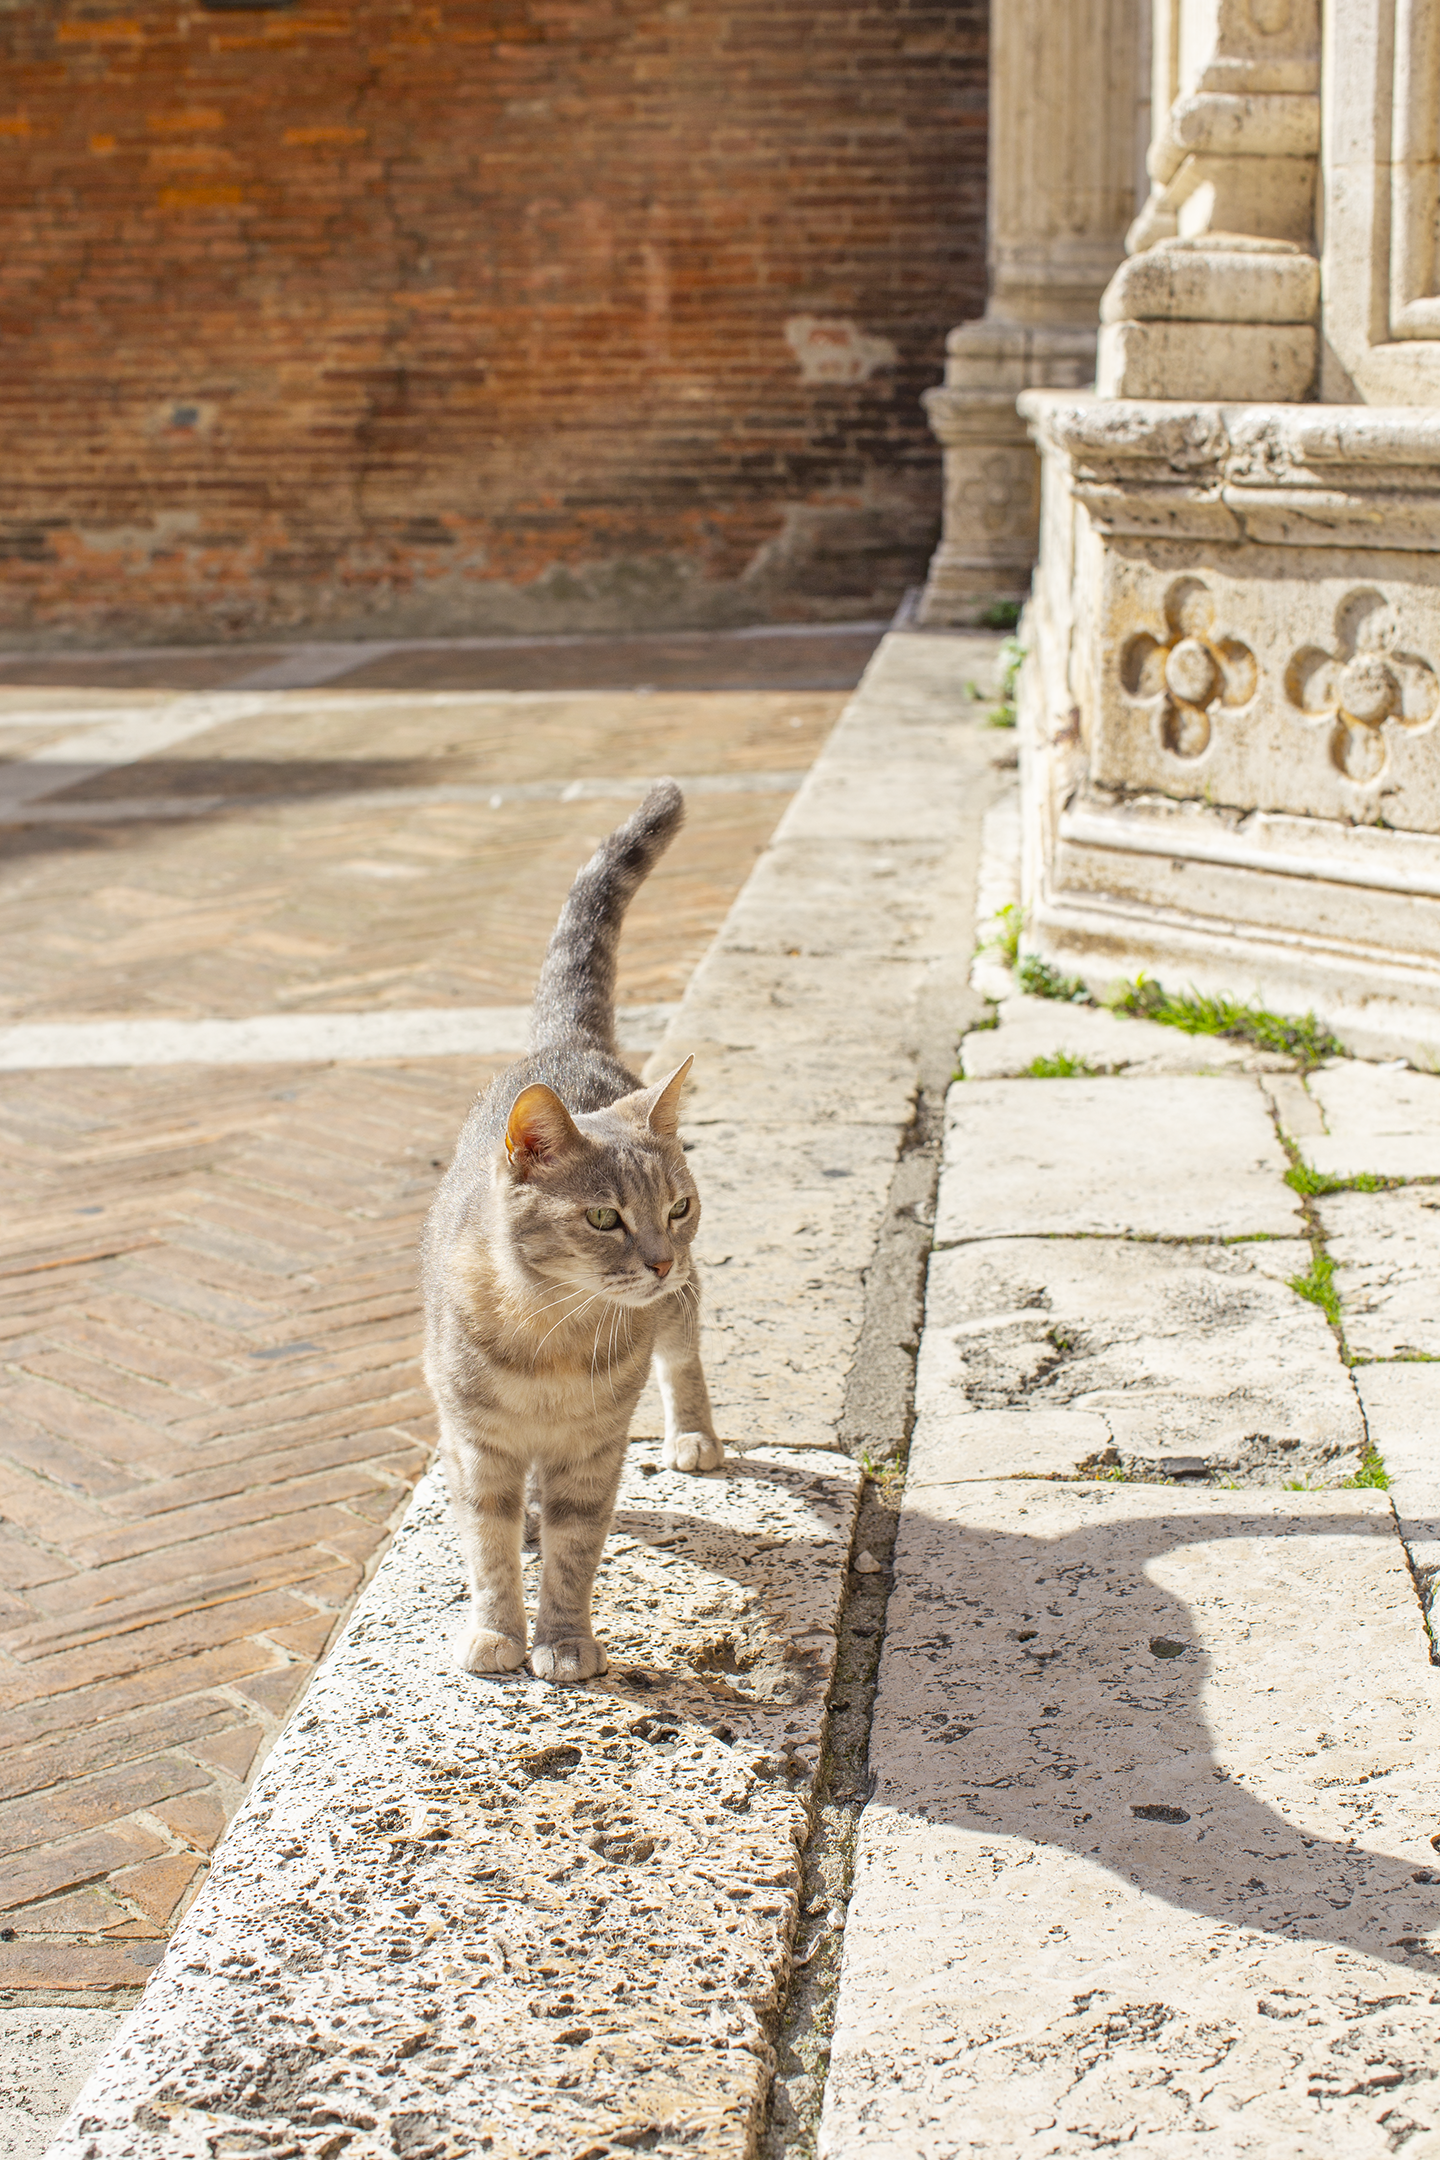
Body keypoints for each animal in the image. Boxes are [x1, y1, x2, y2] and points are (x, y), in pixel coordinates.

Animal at [425, 781, 721, 1684]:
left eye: (677, 1207)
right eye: (602, 1217)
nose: (658, 1260)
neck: (550, 1334)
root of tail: (563, 1044)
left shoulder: (593, 1450)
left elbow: (576, 1548)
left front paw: (562, 1639)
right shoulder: (478, 1442)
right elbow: (484, 1542)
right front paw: (496, 1631)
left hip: (684, 1308)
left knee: (683, 1358)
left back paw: (694, 1436)